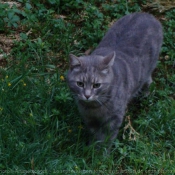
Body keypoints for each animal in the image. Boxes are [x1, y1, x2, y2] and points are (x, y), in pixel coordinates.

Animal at [67, 12, 163, 148]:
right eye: (80, 84)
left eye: (96, 85)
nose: (87, 95)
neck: (94, 108)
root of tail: (146, 14)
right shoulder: (89, 120)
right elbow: (95, 135)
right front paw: (91, 147)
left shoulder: (114, 119)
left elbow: (107, 139)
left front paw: (102, 152)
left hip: (149, 67)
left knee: (148, 80)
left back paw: (145, 94)